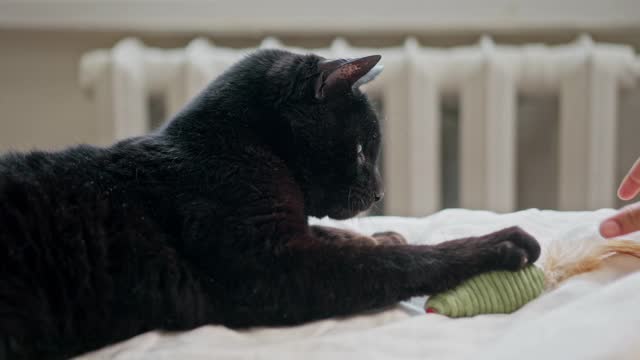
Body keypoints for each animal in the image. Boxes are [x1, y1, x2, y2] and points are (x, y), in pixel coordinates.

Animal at [0, 49, 540, 358]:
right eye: (361, 151)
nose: (380, 194)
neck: (240, 147)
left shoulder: (291, 233)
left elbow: (347, 237)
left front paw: (385, 232)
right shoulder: (274, 265)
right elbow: (402, 261)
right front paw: (499, 244)